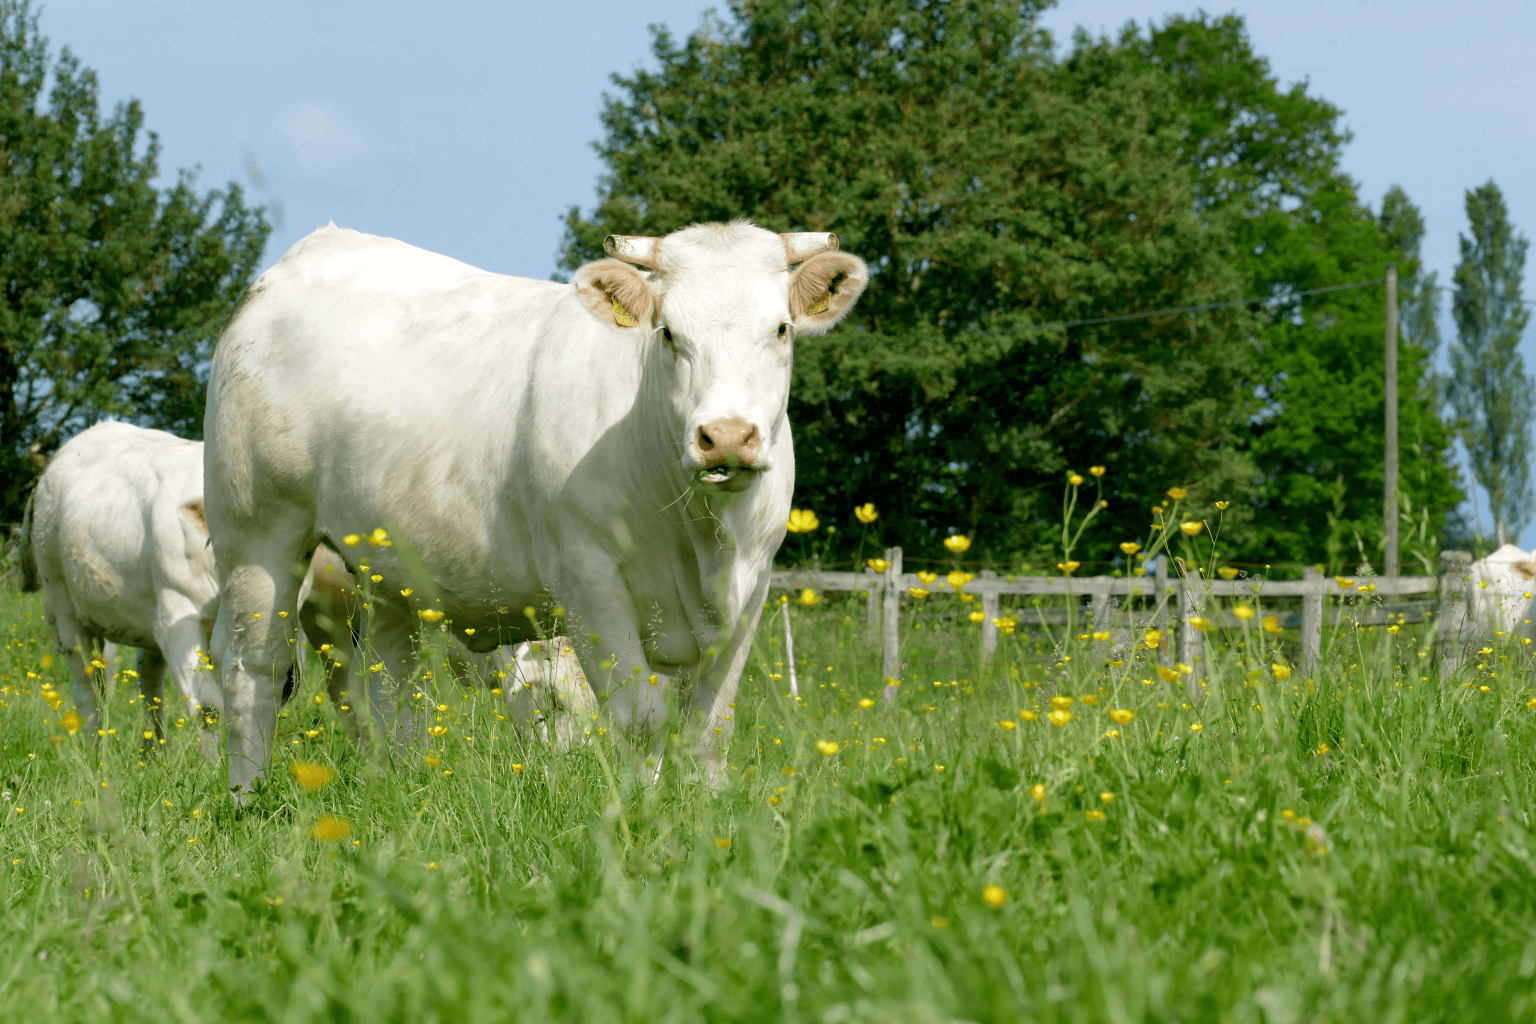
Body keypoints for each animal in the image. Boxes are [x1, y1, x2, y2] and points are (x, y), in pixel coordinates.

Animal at [202, 220, 868, 791]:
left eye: (780, 329)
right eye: (669, 334)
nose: (726, 435)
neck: (701, 534)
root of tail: (305, 255)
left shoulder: (752, 586)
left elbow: (711, 726)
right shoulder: (589, 578)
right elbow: (640, 717)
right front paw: (645, 816)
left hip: (388, 566)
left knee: (386, 686)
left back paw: (405, 788)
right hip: (256, 533)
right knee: (252, 671)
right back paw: (248, 797)